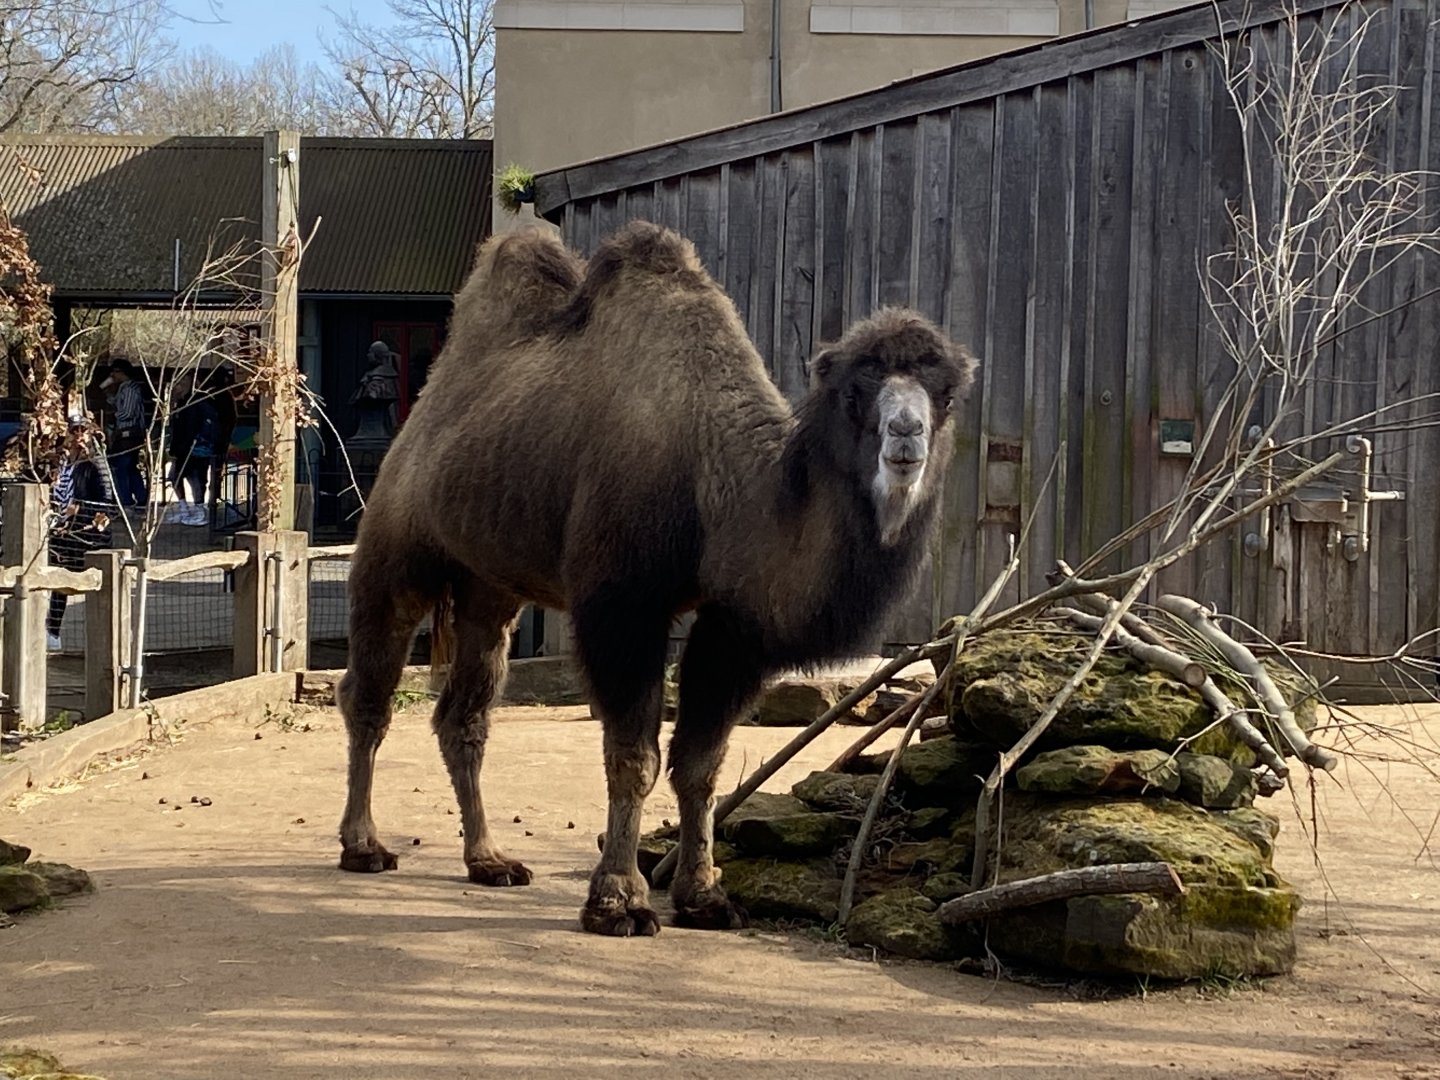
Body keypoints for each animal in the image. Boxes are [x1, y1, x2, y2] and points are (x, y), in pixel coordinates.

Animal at [337, 221, 978, 936]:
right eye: (855, 392)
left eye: (947, 394)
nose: (906, 434)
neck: (716, 476)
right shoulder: (622, 604)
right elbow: (632, 757)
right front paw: (619, 900)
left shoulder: (733, 624)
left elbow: (701, 764)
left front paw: (703, 896)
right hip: (397, 543)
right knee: (369, 692)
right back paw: (364, 845)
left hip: (488, 587)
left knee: (463, 717)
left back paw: (489, 859)